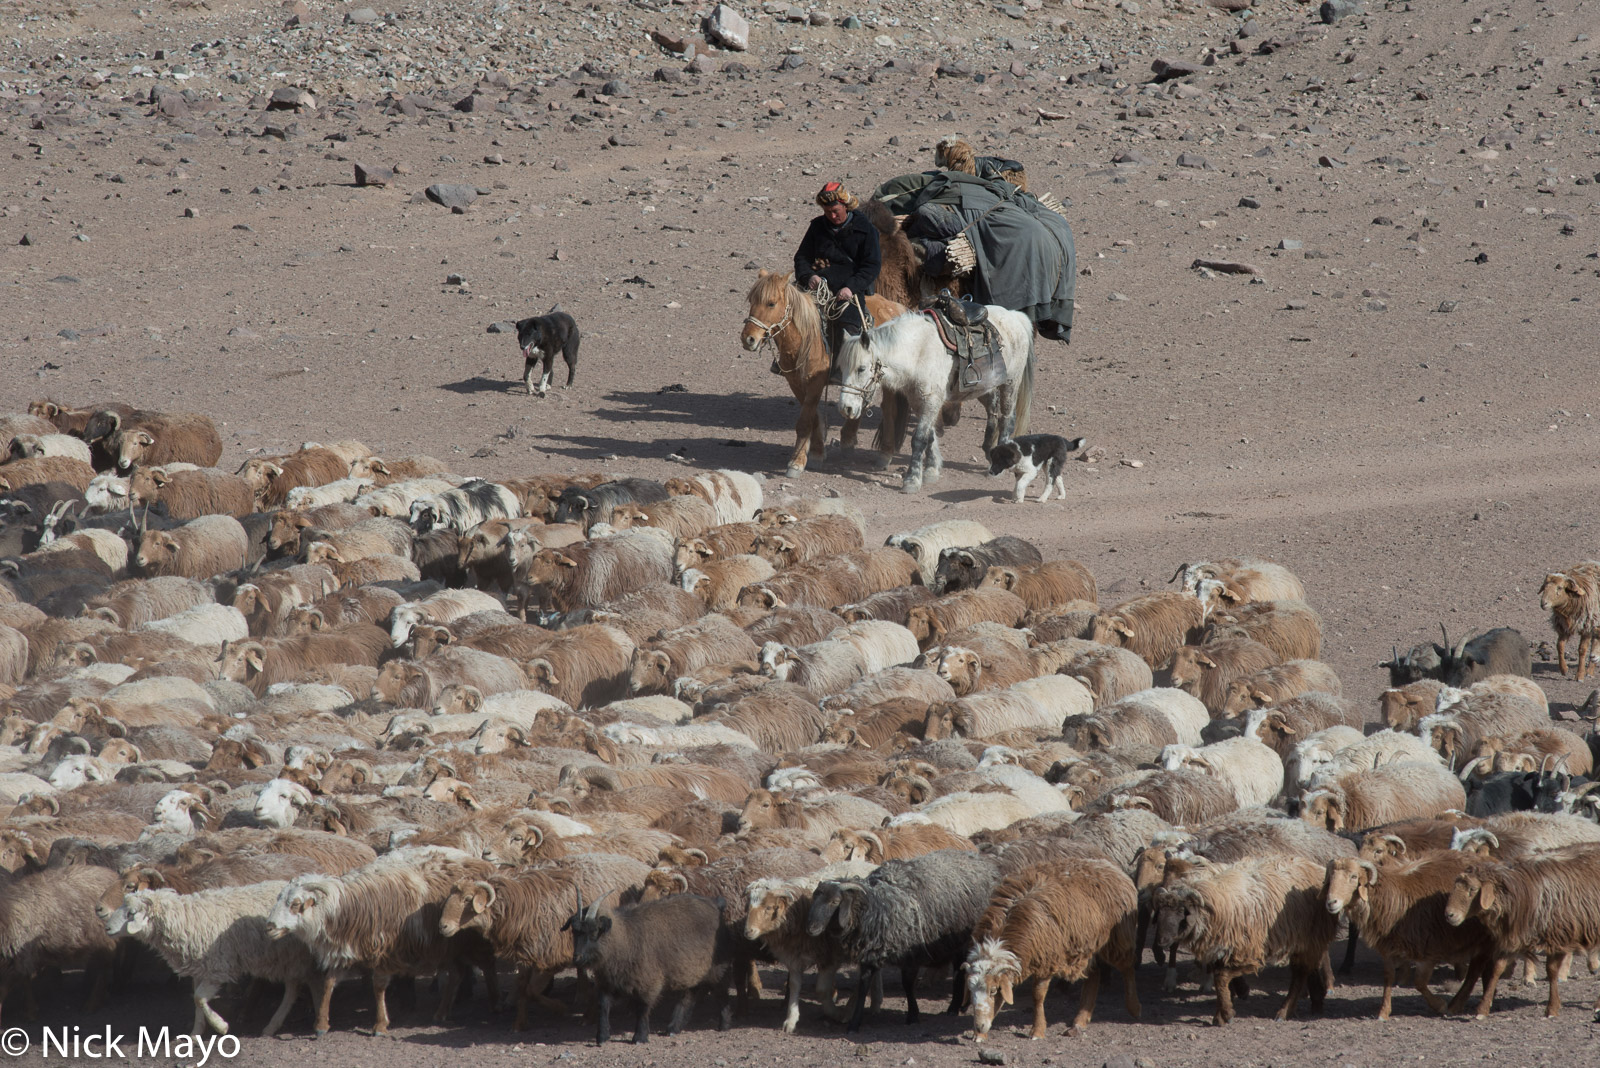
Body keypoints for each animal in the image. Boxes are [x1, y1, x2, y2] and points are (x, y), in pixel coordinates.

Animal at [742, 271, 908, 479]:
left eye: (771, 303)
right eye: (751, 301)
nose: (748, 339)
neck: (807, 339)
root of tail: (896, 308)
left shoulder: (815, 382)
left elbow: (805, 421)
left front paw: (796, 463)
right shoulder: (796, 383)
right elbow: (813, 418)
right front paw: (816, 454)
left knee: (889, 409)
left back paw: (885, 455)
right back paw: (848, 440)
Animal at [838, 303, 1036, 492]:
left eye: (861, 368)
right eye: (841, 368)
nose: (846, 408)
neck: (918, 351)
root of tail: (1015, 316)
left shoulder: (931, 401)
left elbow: (919, 439)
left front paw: (912, 480)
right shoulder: (919, 402)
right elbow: (930, 436)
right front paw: (931, 471)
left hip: (1010, 383)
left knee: (1007, 419)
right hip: (987, 388)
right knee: (993, 412)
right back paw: (989, 452)